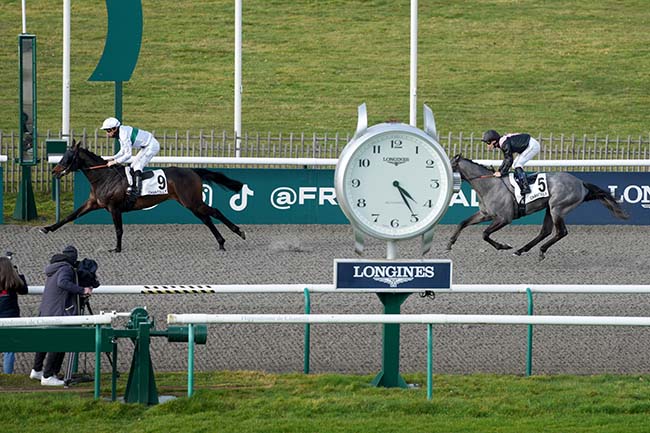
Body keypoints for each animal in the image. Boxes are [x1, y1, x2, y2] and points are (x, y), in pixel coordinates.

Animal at [39, 140, 246, 251]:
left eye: (68, 157)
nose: (55, 171)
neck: (104, 177)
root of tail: (192, 171)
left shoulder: (114, 208)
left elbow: (119, 229)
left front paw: (117, 248)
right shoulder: (92, 203)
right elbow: (69, 216)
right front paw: (47, 228)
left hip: (191, 201)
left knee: (215, 212)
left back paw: (238, 232)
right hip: (191, 203)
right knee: (207, 218)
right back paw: (221, 242)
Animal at [446, 154, 624, 258]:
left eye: (450, 165)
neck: (489, 185)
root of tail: (581, 183)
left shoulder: (504, 218)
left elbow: (484, 234)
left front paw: (503, 246)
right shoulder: (485, 214)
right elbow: (463, 223)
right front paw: (449, 243)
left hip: (557, 208)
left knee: (561, 232)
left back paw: (541, 250)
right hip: (549, 208)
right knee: (545, 231)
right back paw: (522, 250)